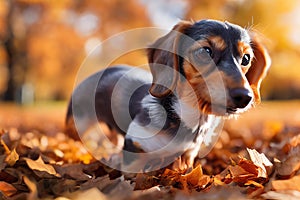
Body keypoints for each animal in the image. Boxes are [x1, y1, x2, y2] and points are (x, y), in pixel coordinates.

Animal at [65, 20, 270, 173]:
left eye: (246, 59)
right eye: (205, 51)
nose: (244, 97)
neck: (186, 116)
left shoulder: (188, 155)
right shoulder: (134, 146)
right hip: (77, 125)